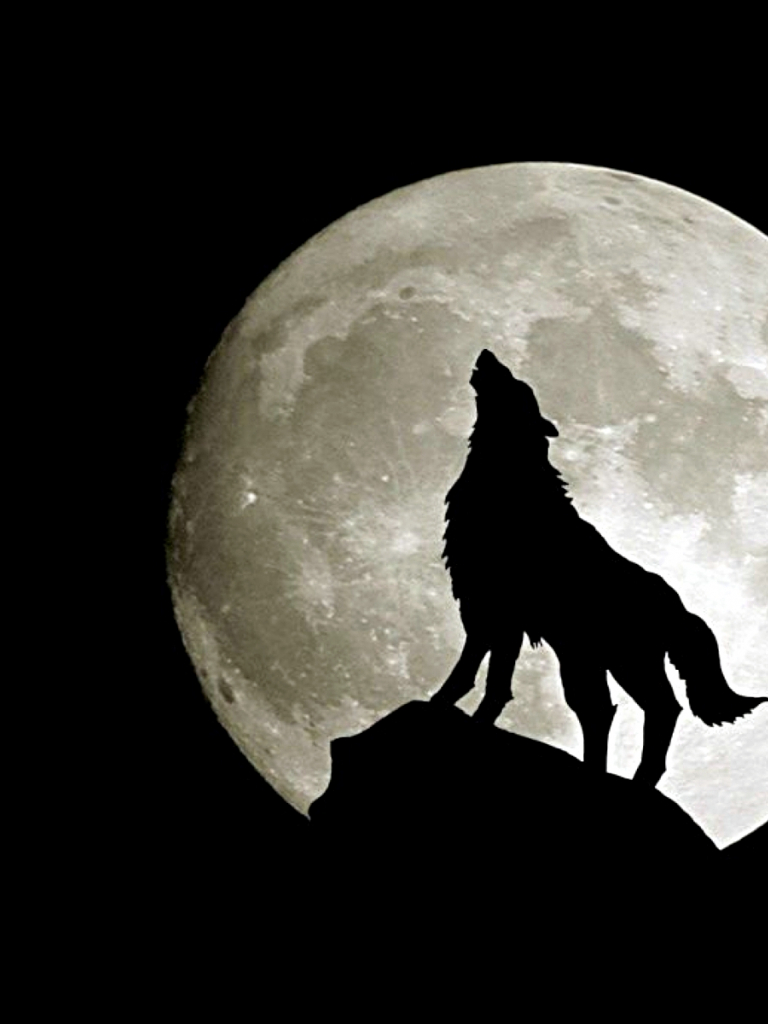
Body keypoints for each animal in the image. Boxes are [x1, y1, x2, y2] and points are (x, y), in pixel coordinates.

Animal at [431, 349, 766, 786]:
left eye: (518, 386)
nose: (488, 355)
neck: (509, 481)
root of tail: (678, 606)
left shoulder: (494, 609)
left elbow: (475, 674)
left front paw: (443, 707)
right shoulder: (495, 614)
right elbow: (491, 679)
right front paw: (468, 716)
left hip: (619, 662)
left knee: (655, 709)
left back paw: (633, 780)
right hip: (587, 659)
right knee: (603, 711)